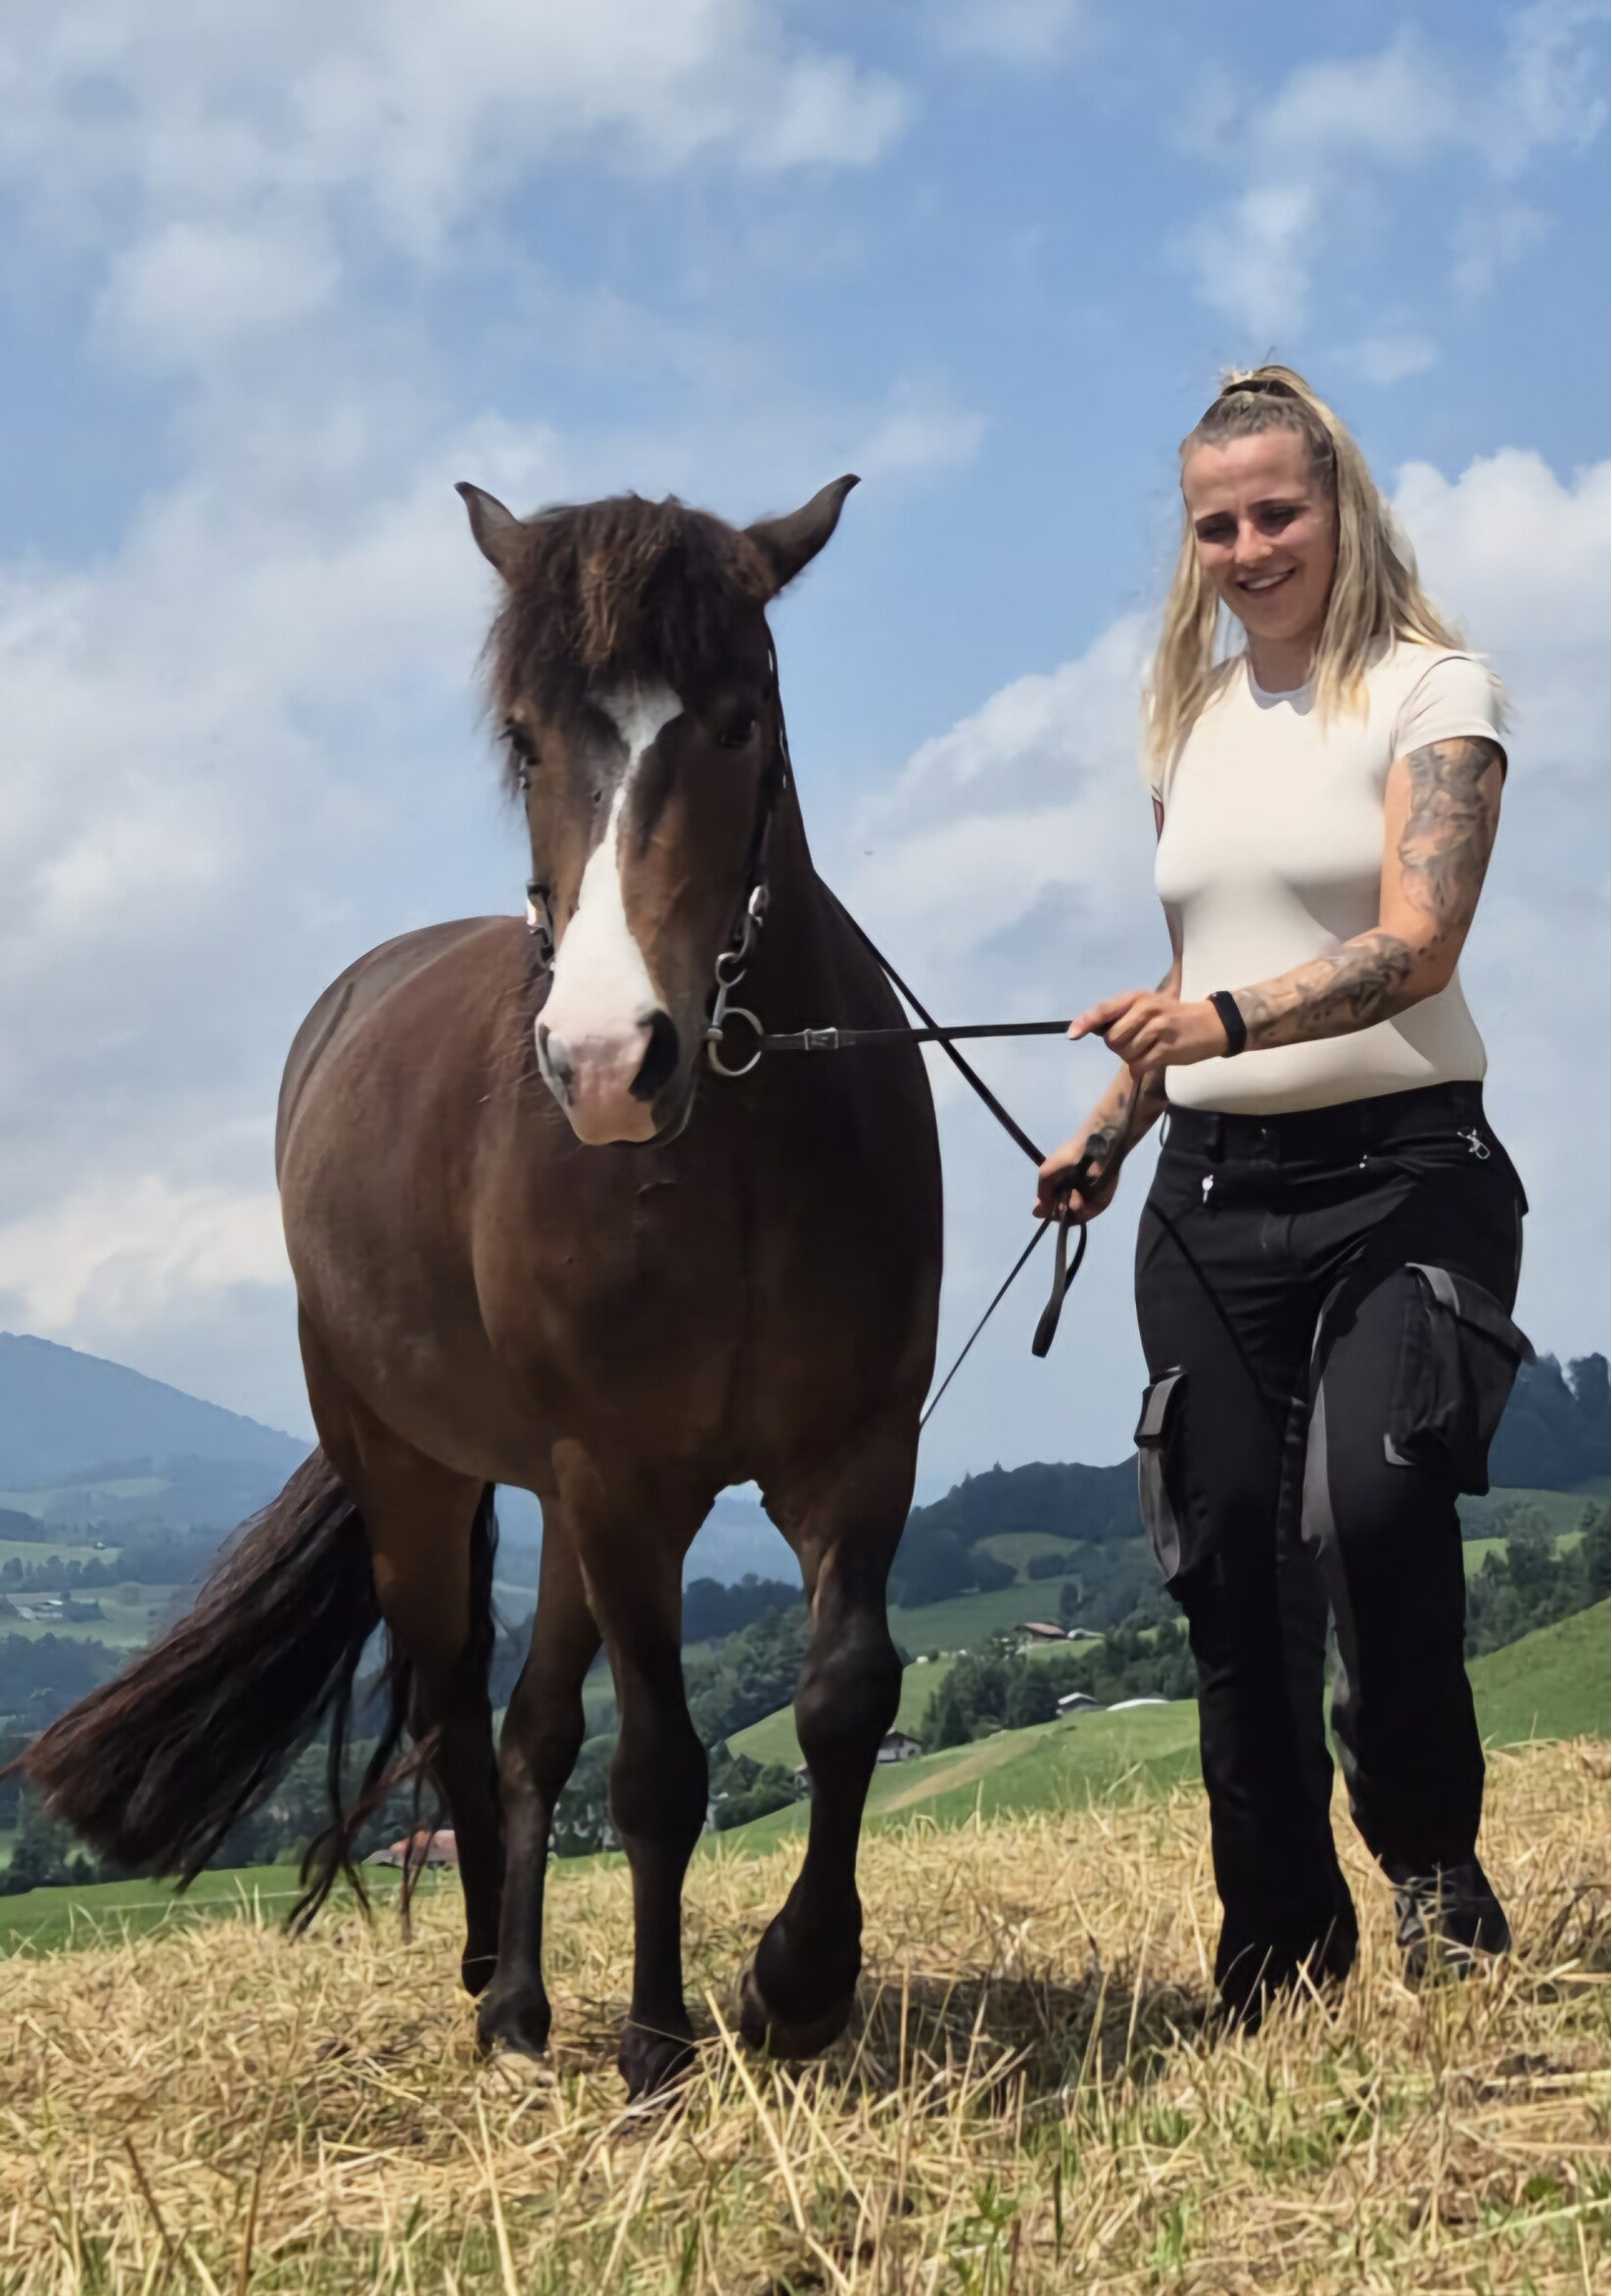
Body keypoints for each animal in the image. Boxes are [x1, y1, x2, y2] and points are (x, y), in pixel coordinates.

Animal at [14, 475, 944, 2097]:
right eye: (523, 736)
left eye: (737, 718)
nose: (605, 1061)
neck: (733, 1154)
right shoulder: (623, 1478)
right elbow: (657, 1769)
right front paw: (654, 2042)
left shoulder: (855, 1455)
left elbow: (841, 1699)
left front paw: (798, 1979)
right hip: (420, 1479)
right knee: (453, 1708)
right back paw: (490, 1992)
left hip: (564, 1506)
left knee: (525, 1732)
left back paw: (519, 1990)